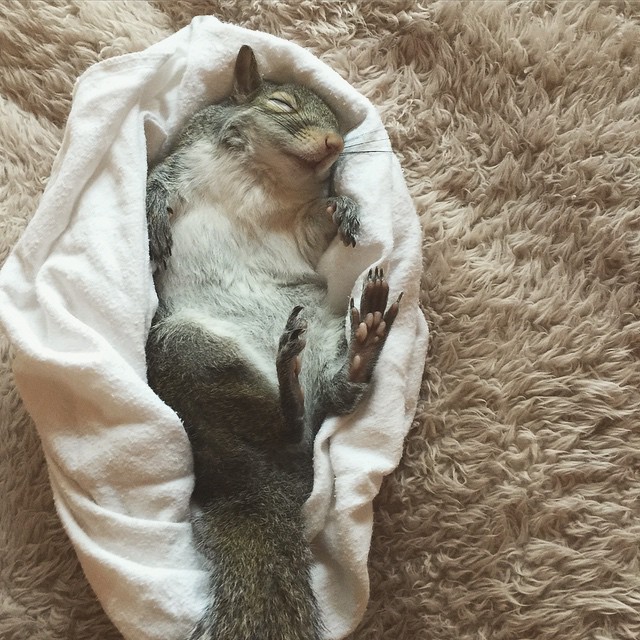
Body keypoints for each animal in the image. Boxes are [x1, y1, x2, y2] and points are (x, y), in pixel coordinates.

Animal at [145, 45, 401, 640]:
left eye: (341, 132)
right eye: (280, 103)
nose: (334, 147)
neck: (262, 176)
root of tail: (246, 479)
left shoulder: (302, 230)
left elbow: (318, 224)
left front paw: (345, 208)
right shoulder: (180, 163)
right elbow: (154, 184)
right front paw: (152, 220)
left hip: (320, 337)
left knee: (324, 410)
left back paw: (357, 344)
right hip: (189, 350)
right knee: (290, 428)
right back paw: (292, 377)